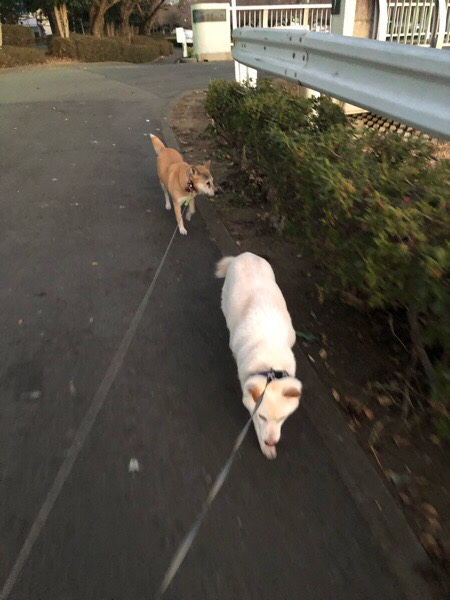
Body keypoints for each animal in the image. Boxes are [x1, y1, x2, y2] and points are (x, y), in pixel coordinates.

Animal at [216, 252, 302, 459]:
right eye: (262, 417)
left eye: (282, 418)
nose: (271, 441)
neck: (271, 365)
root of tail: (243, 254)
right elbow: (253, 419)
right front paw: (266, 446)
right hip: (226, 298)